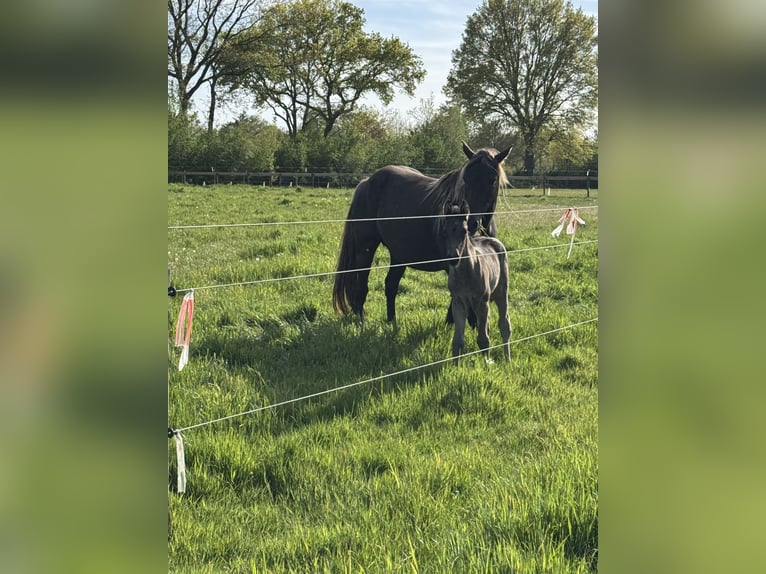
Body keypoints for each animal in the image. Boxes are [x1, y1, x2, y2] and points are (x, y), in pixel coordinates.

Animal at [332, 142, 511, 322]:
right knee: (361, 285)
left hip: (399, 254)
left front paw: (450, 322)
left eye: (492, 179)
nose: (471, 222)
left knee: (390, 285)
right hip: (365, 248)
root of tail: (366, 182)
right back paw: (361, 320)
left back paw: (392, 321)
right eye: (466, 179)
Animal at [438, 200, 511, 365]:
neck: (465, 275)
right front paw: (455, 366)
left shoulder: (481, 302)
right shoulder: (458, 303)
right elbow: (458, 340)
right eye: (444, 231)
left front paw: (486, 364)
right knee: (489, 325)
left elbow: (483, 339)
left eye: (464, 231)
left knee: (504, 324)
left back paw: (507, 359)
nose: (453, 258)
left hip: (501, 293)